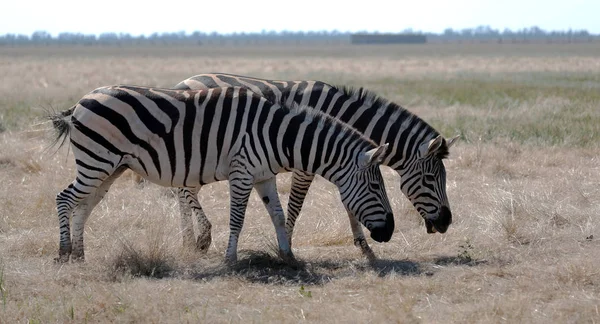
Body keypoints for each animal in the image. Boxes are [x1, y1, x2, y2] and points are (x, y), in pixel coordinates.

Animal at [49, 85, 396, 262]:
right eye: (375, 186)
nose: (389, 232)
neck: (277, 135)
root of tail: (81, 101)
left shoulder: (264, 175)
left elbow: (278, 214)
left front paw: (288, 257)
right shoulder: (242, 172)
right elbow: (237, 218)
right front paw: (230, 259)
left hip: (110, 167)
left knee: (84, 205)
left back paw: (79, 254)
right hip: (97, 160)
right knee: (65, 198)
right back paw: (64, 252)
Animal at [173, 72, 460, 260]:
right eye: (430, 179)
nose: (447, 222)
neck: (341, 115)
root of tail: (182, 82)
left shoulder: (347, 162)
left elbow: (350, 203)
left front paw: (364, 246)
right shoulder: (309, 163)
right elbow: (296, 205)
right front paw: (286, 244)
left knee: (183, 190)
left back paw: (188, 240)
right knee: (185, 191)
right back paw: (201, 238)